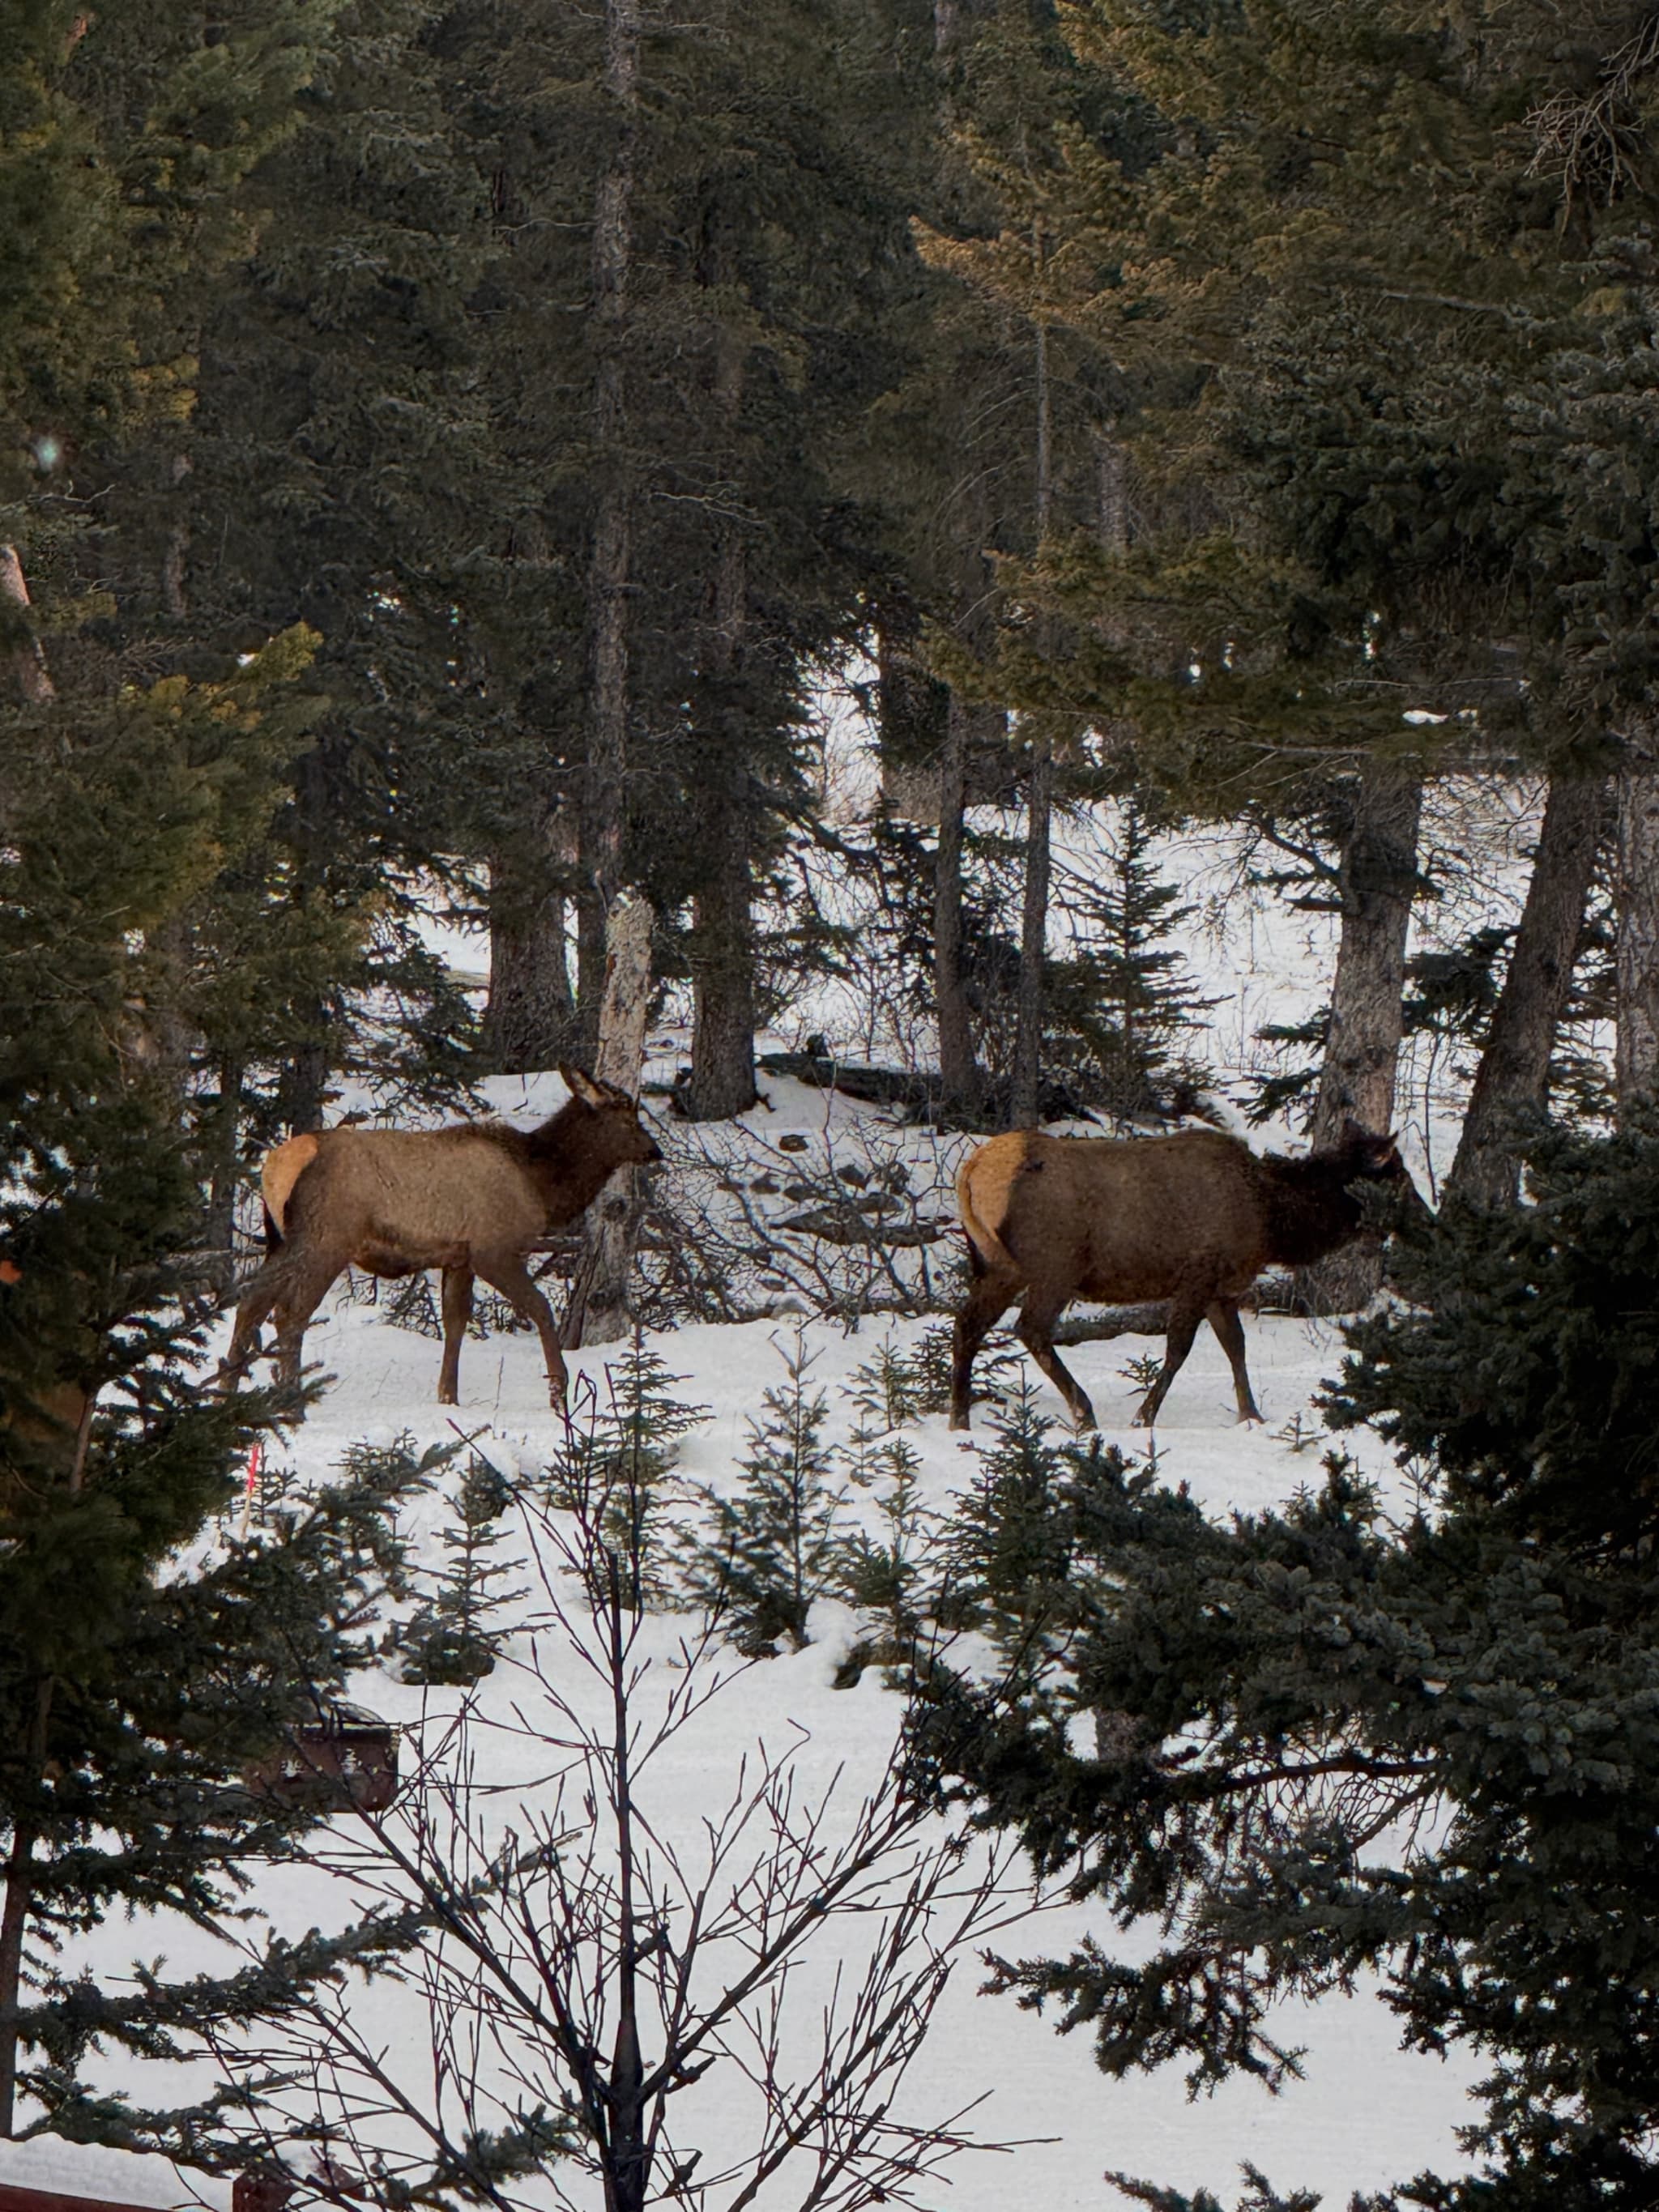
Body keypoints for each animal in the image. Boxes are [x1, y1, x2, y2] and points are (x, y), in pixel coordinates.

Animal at [224, 1068, 663, 1410]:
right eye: (629, 1117)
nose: (655, 1151)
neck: (541, 1183)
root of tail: (275, 1166)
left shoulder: (458, 1257)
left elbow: (455, 1322)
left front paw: (448, 1398)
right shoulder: (494, 1249)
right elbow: (540, 1309)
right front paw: (559, 1392)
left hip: (279, 1241)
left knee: (250, 1303)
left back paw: (227, 1389)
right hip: (326, 1240)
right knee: (290, 1312)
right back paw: (291, 1400)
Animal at [950, 1121, 1421, 1434]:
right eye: (1398, 1176)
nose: (1425, 1217)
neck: (1272, 1222)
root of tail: (973, 1170)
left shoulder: (1220, 1290)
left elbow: (1236, 1347)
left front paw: (1251, 1415)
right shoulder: (1197, 1275)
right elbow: (1179, 1349)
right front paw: (1144, 1417)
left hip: (998, 1268)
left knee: (967, 1323)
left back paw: (960, 1418)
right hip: (1054, 1265)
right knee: (1030, 1328)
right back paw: (1083, 1413)